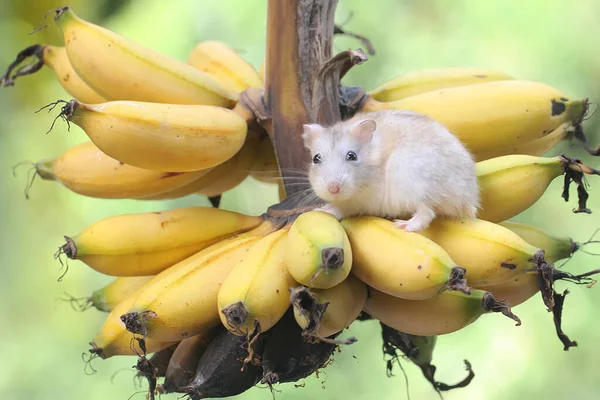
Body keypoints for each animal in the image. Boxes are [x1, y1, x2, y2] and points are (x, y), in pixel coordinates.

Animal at [302, 110, 480, 234]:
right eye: (316, 158)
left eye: (352, 156)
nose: (333, 189)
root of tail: (468, 198)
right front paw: (320, 209)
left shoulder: (363, 201)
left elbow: (343, 208)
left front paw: (324, 210)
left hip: (414, 182)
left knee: (426, 212)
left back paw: (403, 225)